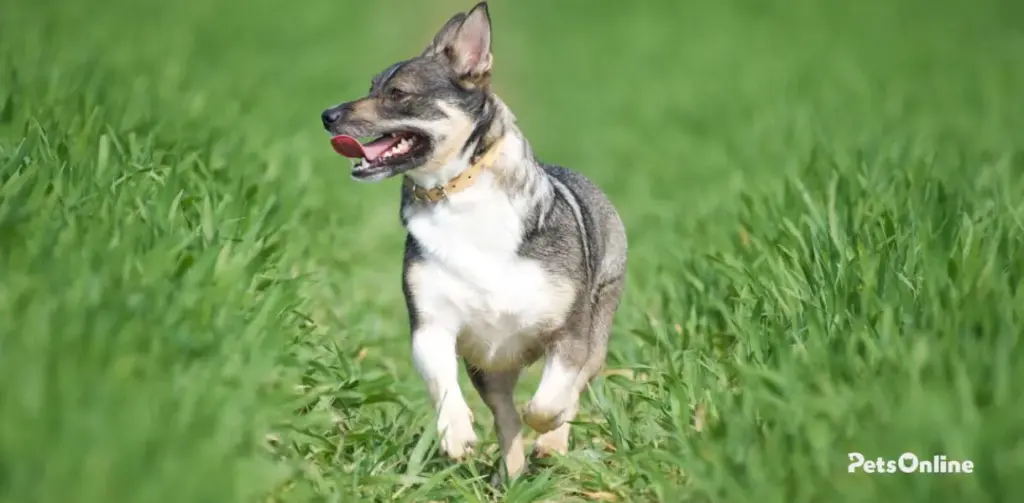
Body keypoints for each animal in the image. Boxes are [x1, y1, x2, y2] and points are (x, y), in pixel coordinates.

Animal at [319, 0, 626, 479]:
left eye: (398, 94)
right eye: (371, 86)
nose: (328, 115)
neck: (457, 192)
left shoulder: (570, 335)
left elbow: (550, 399)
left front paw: (548, 430)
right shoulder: (431, 327)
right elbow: (446, 385)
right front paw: (457, 435)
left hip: (599, 322)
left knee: (569, 389)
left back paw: (550, 445)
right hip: (489, 366)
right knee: (504, 415)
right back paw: (511, 475)